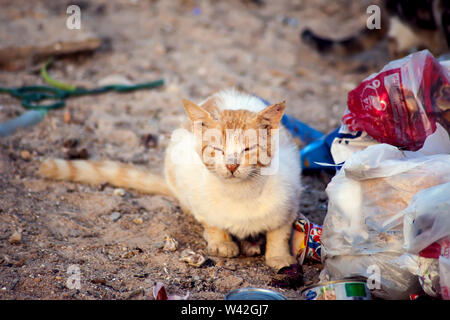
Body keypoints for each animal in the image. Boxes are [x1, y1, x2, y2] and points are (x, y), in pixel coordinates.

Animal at [41, 89, 302, 270]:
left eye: (248, 149)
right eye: (217, 149)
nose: (231, 164)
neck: (240, 193)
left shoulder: (289, 200)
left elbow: (280, 233)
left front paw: (280, 256)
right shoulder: (194, 189)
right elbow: (212, 221)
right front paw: (220, 240)